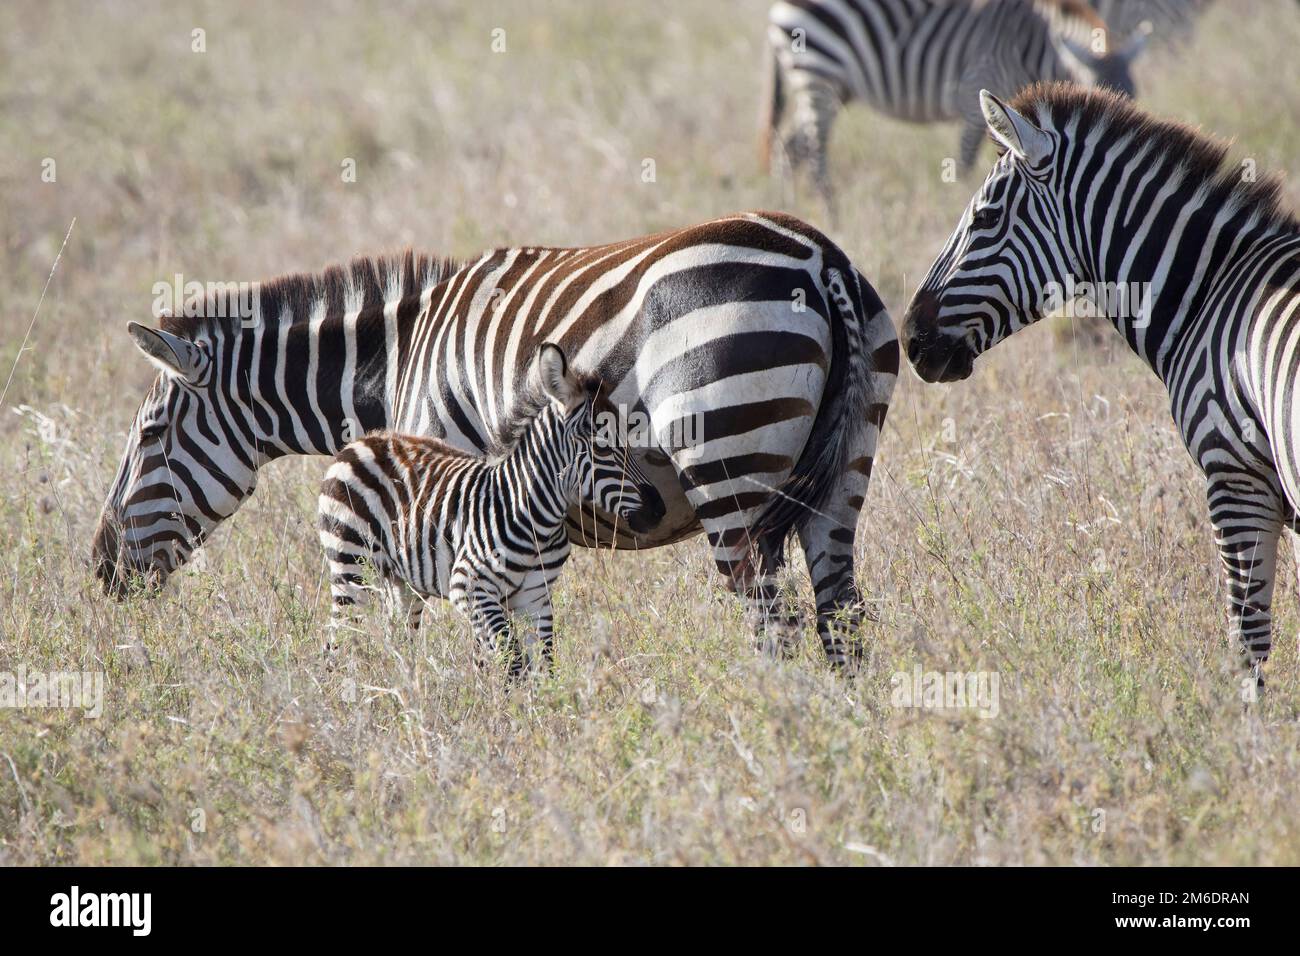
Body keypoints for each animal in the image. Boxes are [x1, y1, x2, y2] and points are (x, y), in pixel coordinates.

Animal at [315, 343, 660, 671]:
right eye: (602, 446)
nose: (657, 511)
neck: (534, 518)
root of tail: (360, 443)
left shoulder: (537, 597)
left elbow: (544, 667)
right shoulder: (470, 587)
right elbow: (514, 663)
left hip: (402, 582)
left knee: (398, 642)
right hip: (351, 565)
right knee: (336, 642)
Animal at [759, 0, 1149, 209]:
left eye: (1131, 103)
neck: (1032, 45)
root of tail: (779, 8)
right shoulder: (978, 87)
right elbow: (963, 162)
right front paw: (956, 205)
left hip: (831, 86)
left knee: (789, 145)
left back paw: (787, 205)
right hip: (818, 76)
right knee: (814, 153)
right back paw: (830, 213)